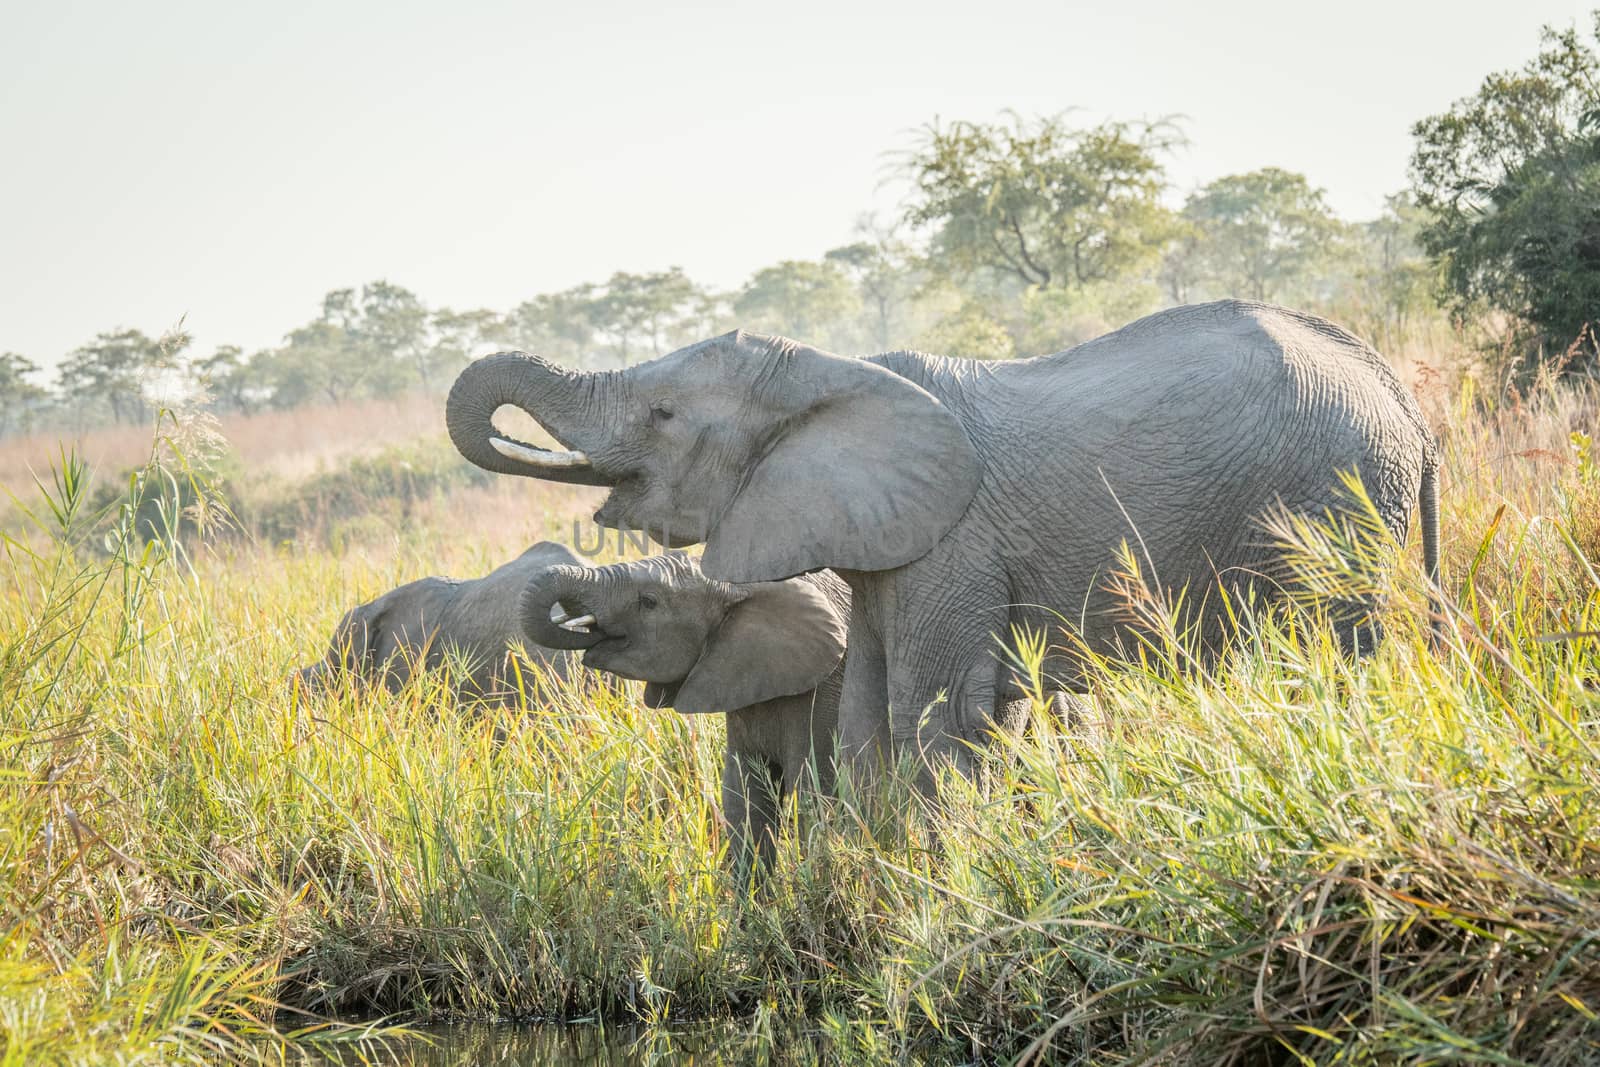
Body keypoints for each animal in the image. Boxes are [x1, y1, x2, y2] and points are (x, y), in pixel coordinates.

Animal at [444, 300, 1446, 793]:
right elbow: (864, 722)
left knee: (1337, 656)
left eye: (661, 415)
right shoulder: (889, 550)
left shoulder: (956, 544)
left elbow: (930, 720)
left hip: (1335, 508)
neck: (836, 370)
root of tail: (1407, 403)